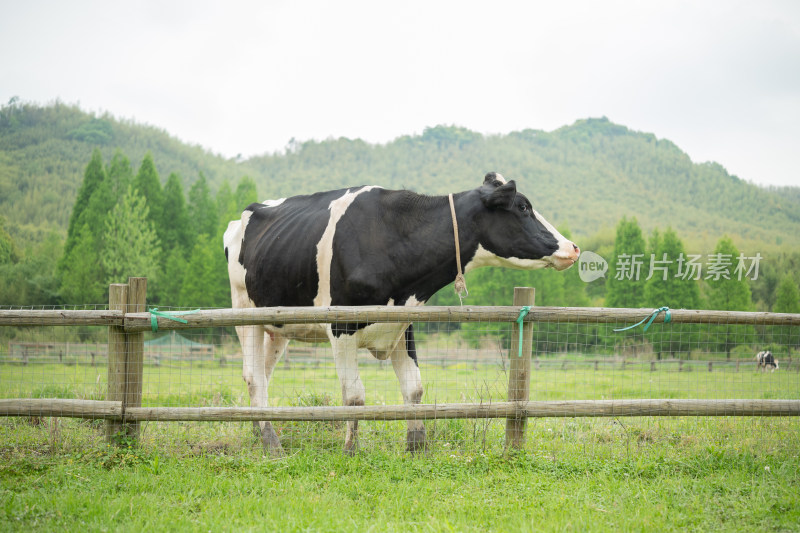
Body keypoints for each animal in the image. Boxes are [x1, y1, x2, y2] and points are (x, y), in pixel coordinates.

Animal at [225, 172, 580, 456]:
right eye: (523, 207)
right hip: (245, 311)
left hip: (278, 324)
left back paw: (259, 433)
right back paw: (272, 444)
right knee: (254, 377)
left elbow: (414, 388)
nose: (573, 247)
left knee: (262, 377)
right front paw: (351, 450)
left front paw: (416, 448)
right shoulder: (341, 326)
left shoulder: (403, 323)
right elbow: (354, 396)